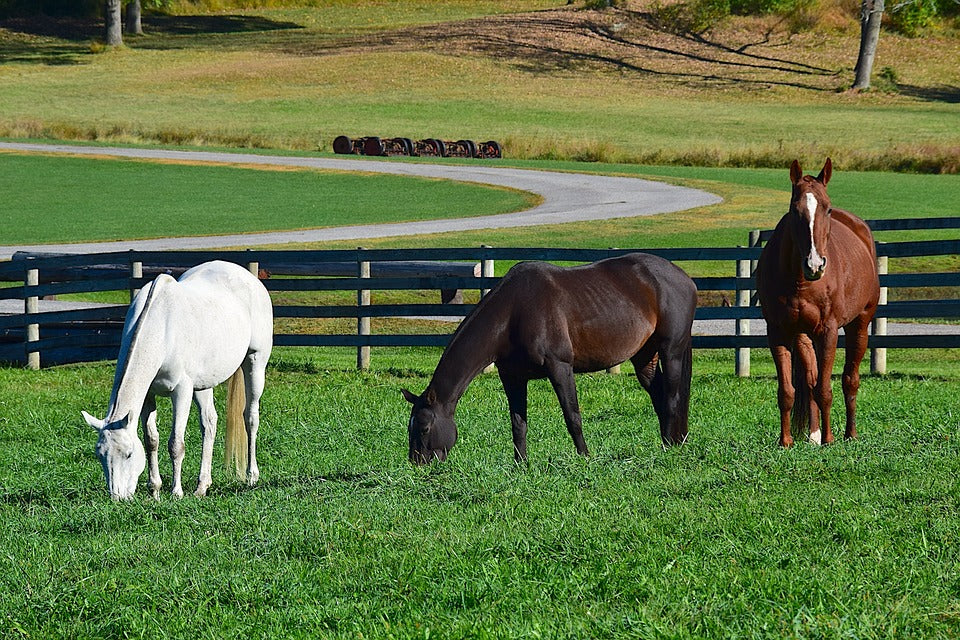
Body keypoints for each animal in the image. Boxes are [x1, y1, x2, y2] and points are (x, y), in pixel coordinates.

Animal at [82, 260, 273, 500]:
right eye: (100, 455)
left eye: (128, 454)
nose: (118, 498)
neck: (162, 329)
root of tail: (248, 277)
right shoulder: (149, 395)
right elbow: (151, 440)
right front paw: (155, 490)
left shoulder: (181, 391)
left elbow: (176, 444)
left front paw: (176, 492)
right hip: (202, 384)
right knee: (209, 423)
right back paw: (202, 486)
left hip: (255, 362)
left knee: (250, 417)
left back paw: (251, 476)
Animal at [402, 252, 697, 464]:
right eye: (410, 427)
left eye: (425, 428)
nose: (417, 464)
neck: (513, 314)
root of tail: (685, 279)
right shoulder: (512, 377)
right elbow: (518, 423)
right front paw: (520, 465)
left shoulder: (560, 367)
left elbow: (572, 416)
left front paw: (584, 458)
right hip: (644, 356)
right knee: (658, 396)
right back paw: (668, 442)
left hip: (671, 351)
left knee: (672, 398)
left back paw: (671, 447)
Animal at [755, 158, 880, 447]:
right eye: (794, 209)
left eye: (828, 208)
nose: (815, 265)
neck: (800, 281)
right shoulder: (778, 332)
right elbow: (787, 391)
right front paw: (786, 441)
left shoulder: (828, 331)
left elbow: (825, 389)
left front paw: (829, 439)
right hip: (803, 336)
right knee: (810, 379)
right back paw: (813, 434)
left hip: (860, 324)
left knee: (850, 380)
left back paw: (849, 433)